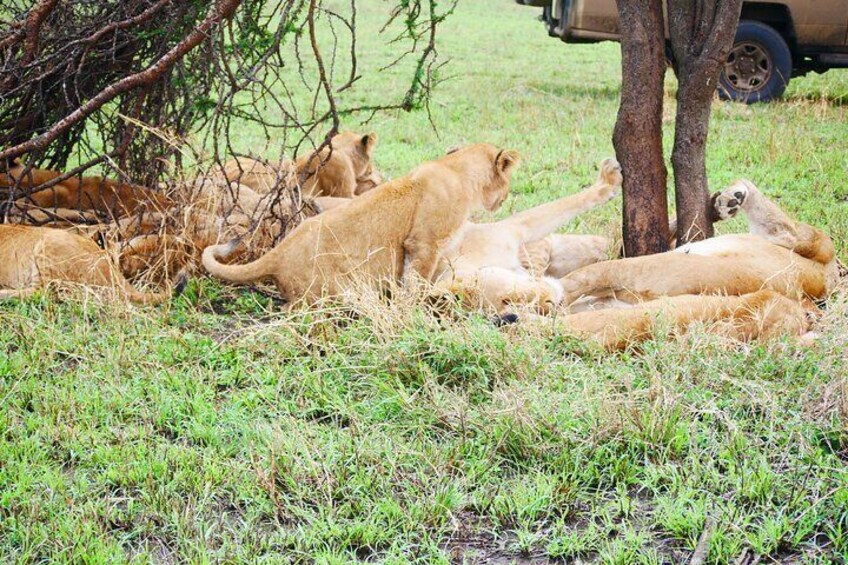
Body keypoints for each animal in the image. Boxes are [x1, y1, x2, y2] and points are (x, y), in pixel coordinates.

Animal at [202, 143, 520, 304]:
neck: (455, 169)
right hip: (329, 293)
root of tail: (279, 253)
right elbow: (417, 280)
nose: (504, 199)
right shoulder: (423, 244)